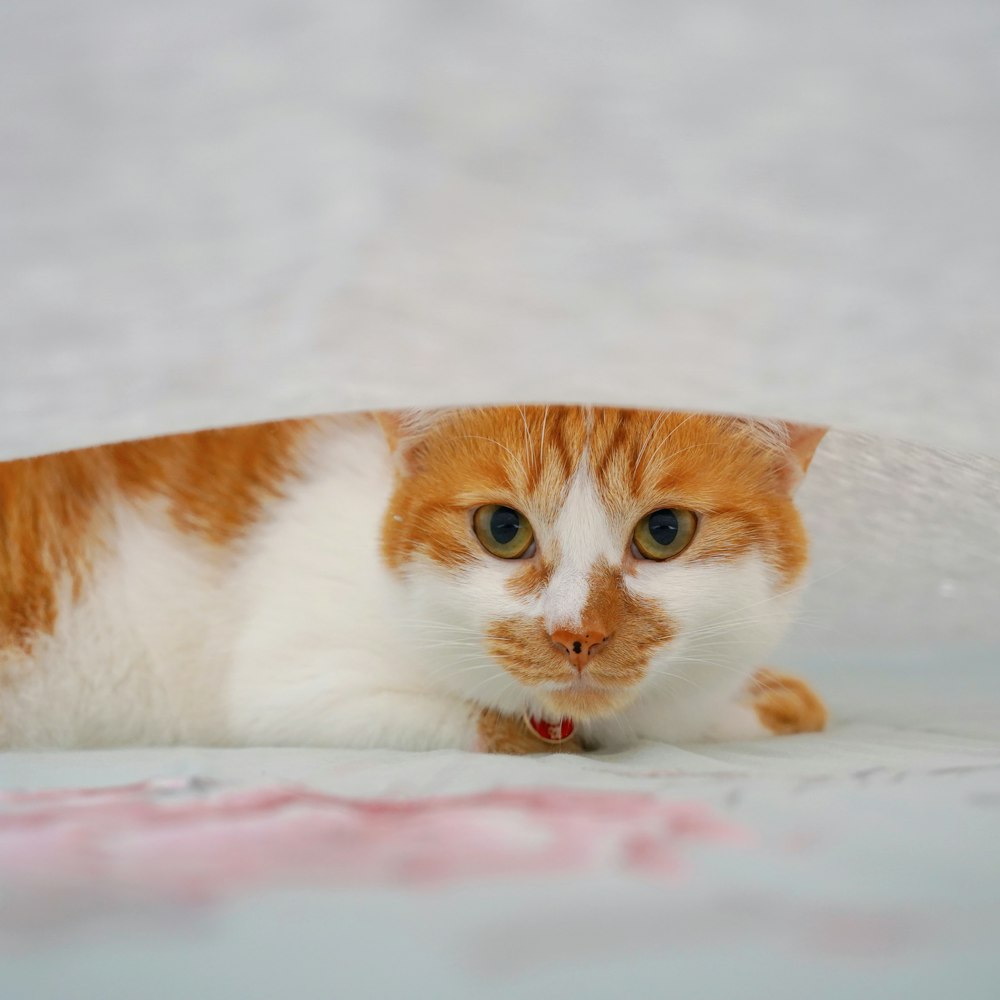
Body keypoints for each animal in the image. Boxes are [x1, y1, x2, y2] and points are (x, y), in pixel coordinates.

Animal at [0, 406, 828, 752]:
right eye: (503, 530)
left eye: (663, 533)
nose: (577, 634)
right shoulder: (295, 684)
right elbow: (516, 732)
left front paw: (773, 699)